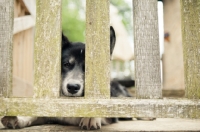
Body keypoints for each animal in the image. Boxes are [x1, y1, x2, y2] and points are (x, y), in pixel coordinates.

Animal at [1, 26, 133, 130]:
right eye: (66, 64)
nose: (72, 87)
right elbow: (36, 114)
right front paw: (18, 118)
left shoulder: (112, 115)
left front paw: (91, 116)